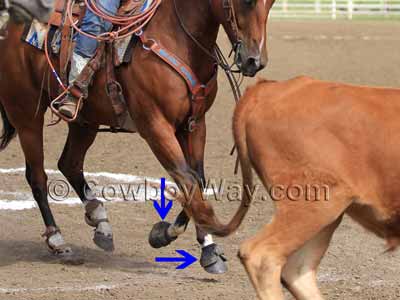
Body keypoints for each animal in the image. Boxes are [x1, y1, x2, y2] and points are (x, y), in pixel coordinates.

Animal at [0, 0, 274, 274]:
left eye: (270, 4)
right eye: (246, 2)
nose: (255, 61)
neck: (177, 36)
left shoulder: (195, 124)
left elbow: (198, 179)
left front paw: (206, 247)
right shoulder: (155, 126)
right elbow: (187, 179)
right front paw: (165, 234)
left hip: (85, 121)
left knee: (69, 164)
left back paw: (100, 221)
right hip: (26, 114)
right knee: (38, 176)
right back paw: (58, 240)